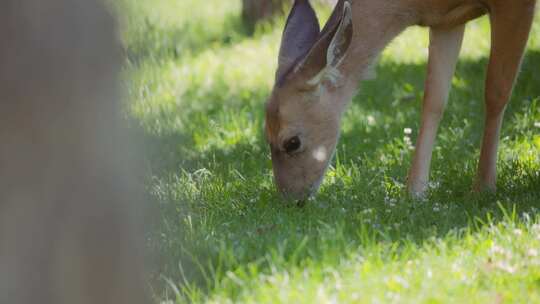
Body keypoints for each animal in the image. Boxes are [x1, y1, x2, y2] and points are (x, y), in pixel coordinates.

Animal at [264, 0, 536, 202]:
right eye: (265, 134)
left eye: (292, 142)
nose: (291, 200)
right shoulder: (446, 20)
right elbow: (434, 100)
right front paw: (415, 191)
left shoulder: (516, 5)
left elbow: (496, 91)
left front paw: (484, 187)